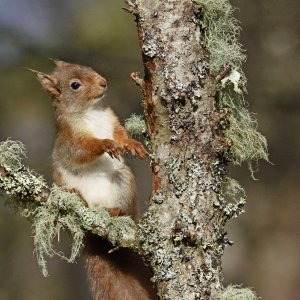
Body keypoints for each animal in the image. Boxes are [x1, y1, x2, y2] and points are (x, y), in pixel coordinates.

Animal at [34, 59, 156, 298]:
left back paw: (117, 211)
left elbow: (120, 134)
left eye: (90, 68)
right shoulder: (69, 138)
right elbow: (82, 151)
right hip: (62, 178)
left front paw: (132, 144)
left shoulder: (112, 119)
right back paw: (77, 198)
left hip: (124, 180)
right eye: (75, 85)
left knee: (124, 208)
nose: (103, 82)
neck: (91, 111)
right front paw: (105, 144)